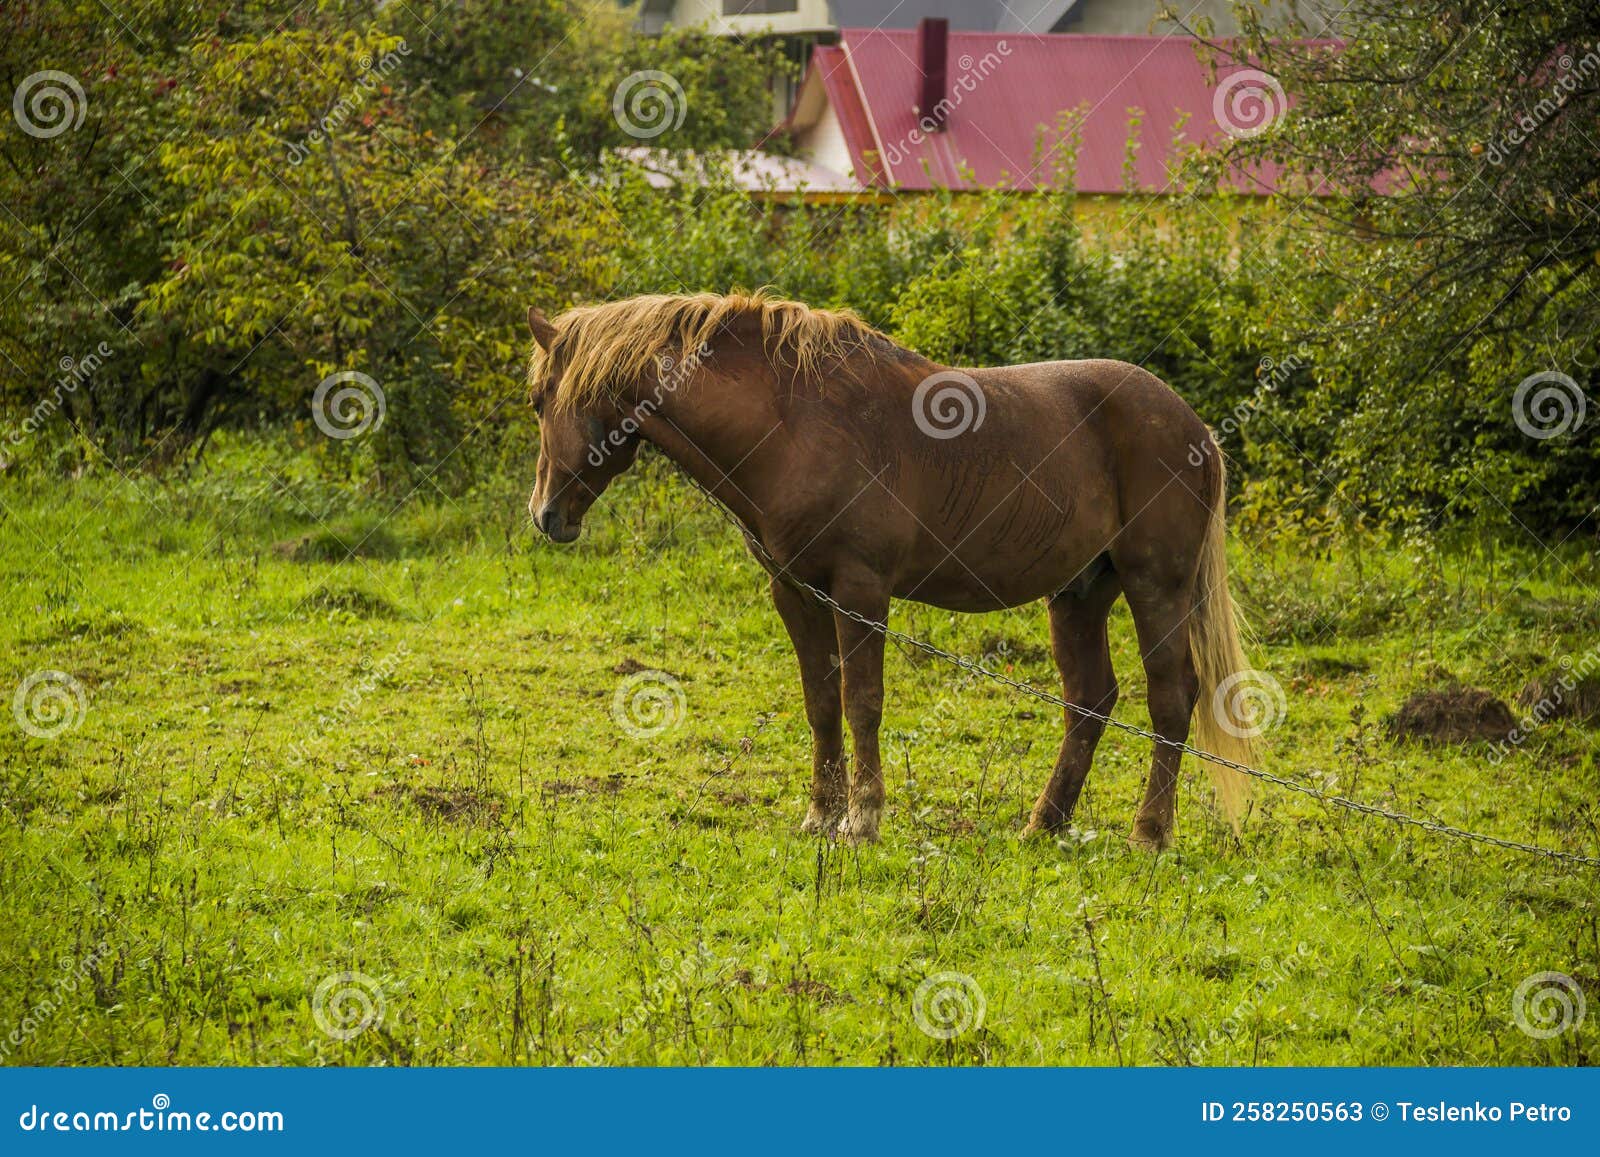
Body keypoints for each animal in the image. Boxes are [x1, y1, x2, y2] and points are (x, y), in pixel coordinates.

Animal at [525, 291, 1255, 849]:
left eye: (538, 400)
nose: (546, 514)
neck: (795, 424)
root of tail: (1195, 430)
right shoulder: (795, 592)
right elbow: (822, 702)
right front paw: (820, 814)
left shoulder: (861, 591)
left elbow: (862, 702)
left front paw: (862, 820)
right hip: (1079, 594)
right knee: (1090, 701)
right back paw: (1043, 824)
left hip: (1155, 586)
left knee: (1171, 698)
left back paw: (1149, 834)